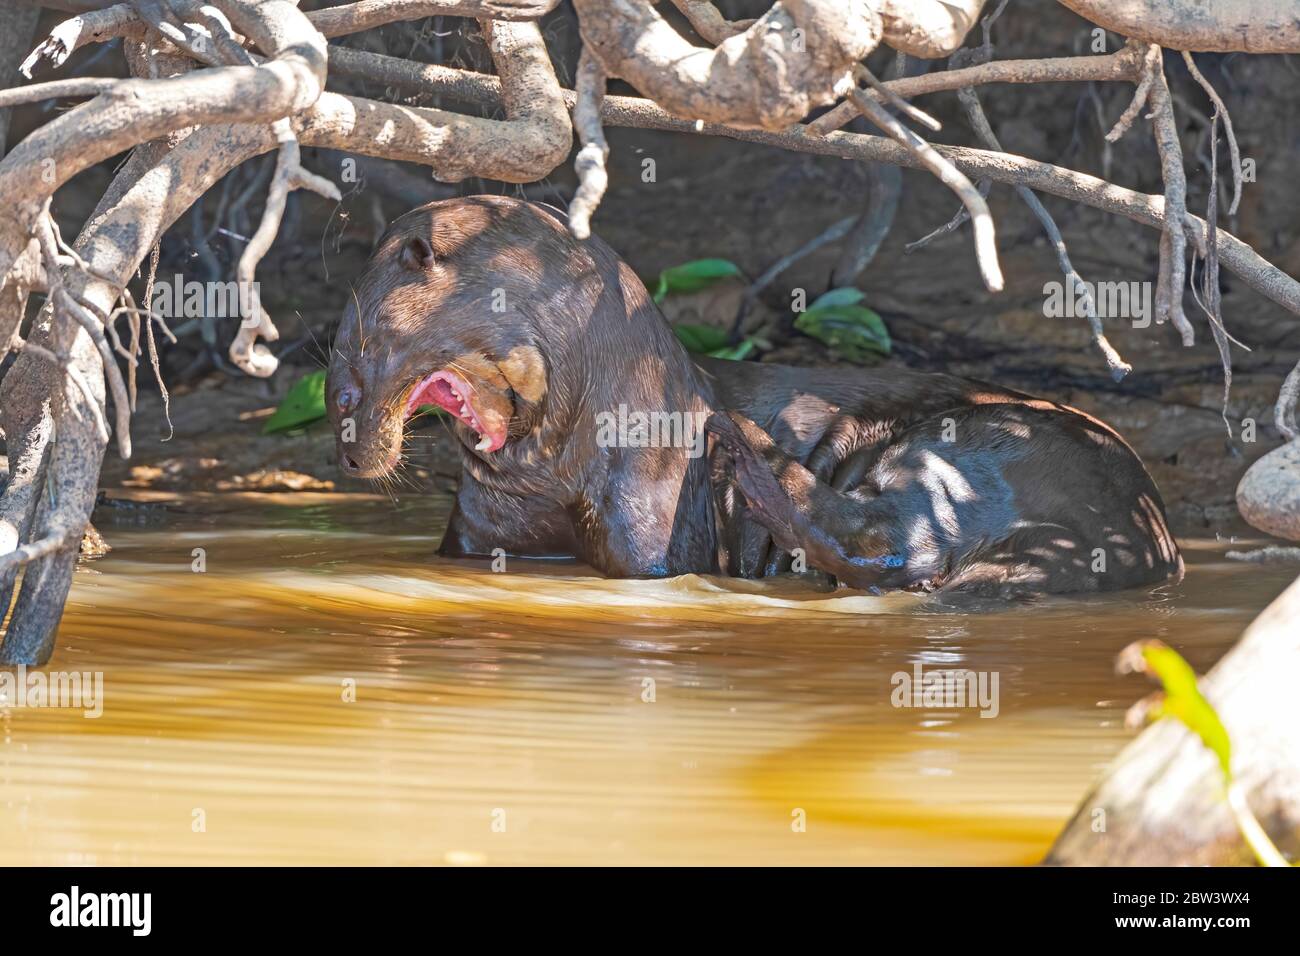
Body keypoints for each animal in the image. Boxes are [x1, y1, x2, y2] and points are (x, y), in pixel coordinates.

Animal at [322, 197, 1180, 595]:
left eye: (355, 365)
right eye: (334, 384)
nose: (345, 445)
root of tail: (1139, 540)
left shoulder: (648, 531)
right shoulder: (479, 530)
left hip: (971, 446)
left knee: (881, 536)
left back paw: (744, 438)